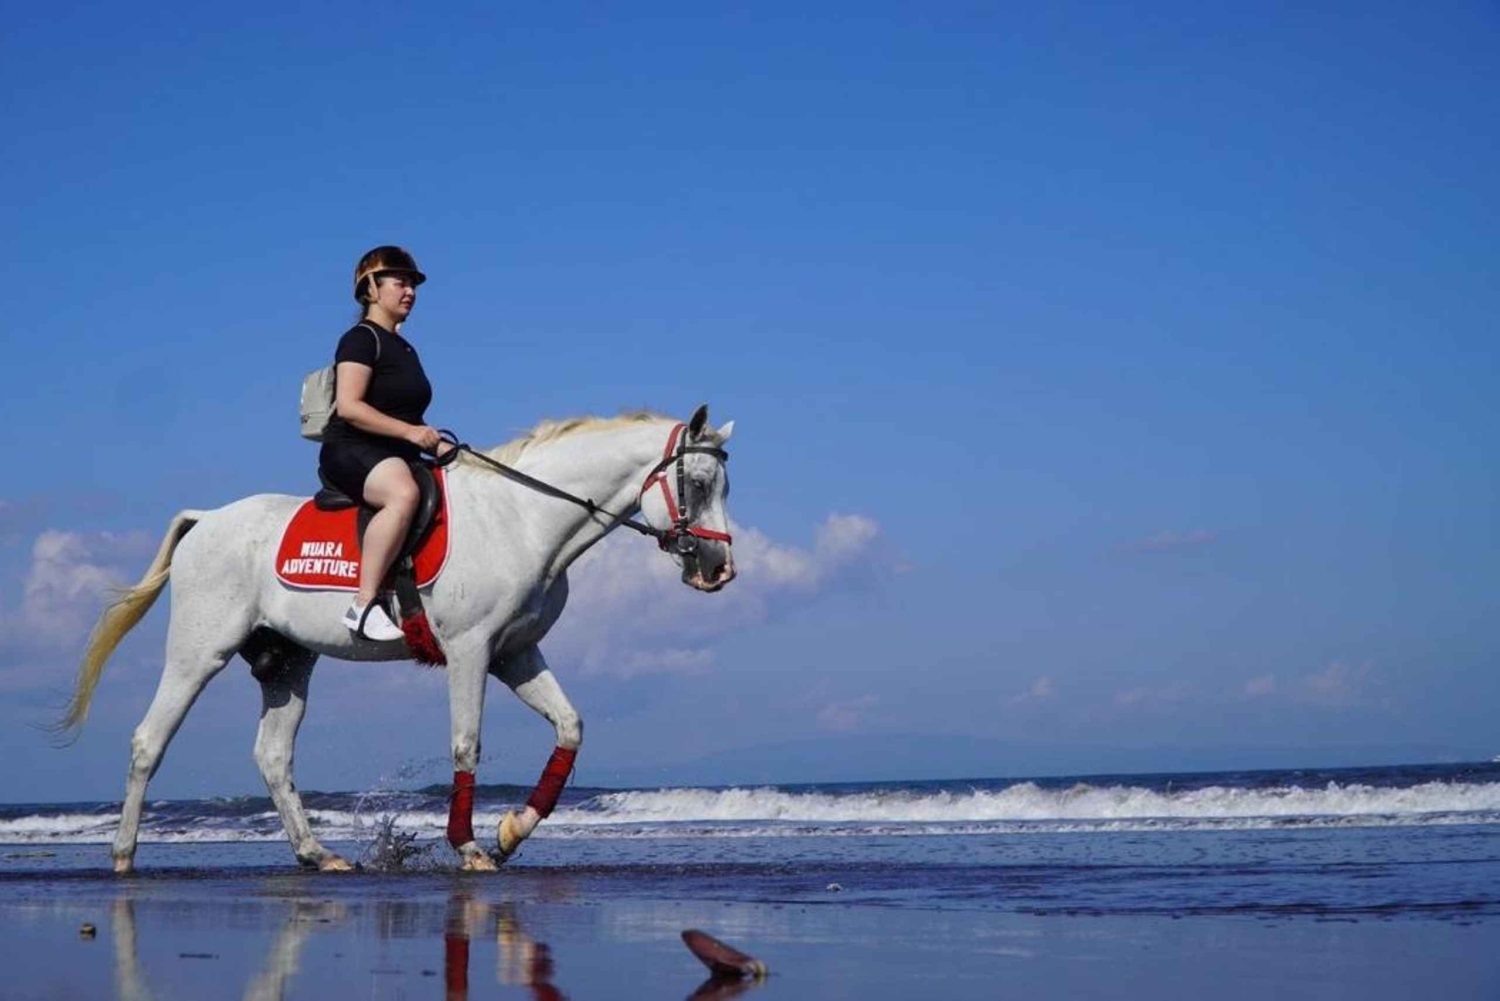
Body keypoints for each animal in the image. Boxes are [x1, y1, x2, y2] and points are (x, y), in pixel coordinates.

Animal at [57, 405, 737, 873]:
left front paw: (511, 832)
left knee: (273, 755)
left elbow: (570, 727)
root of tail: (206, 519)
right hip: (200, 653)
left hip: (286, 664)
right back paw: (123, 856)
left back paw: (316, 854)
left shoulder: (515, 653)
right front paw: (469, 847)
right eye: (701, 484)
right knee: (150, 740)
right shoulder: (470, 650)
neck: (523, 521)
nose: (719, 570)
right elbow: (467, 744)